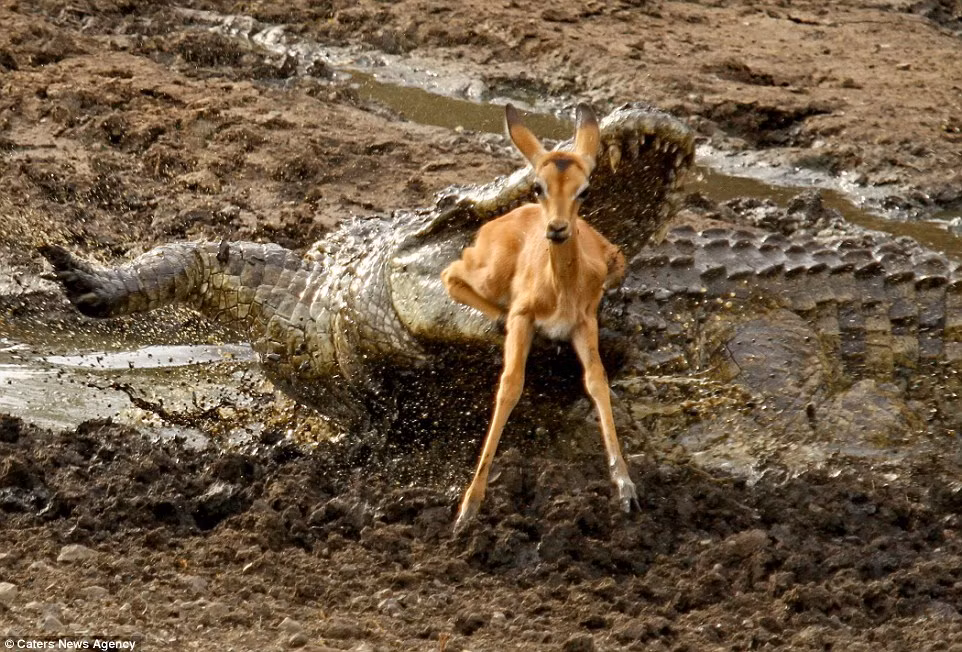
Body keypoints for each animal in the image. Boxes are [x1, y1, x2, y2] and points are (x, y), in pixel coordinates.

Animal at [441, 103, 639, 530]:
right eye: (539, 185)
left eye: (584, 189)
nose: (557, 229)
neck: (560, 287)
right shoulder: (524, 319)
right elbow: (510, 386)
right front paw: (468, 507)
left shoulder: (584, 323)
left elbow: (597, 382)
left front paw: (626, 488)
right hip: (486, 273)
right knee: (450, 272)